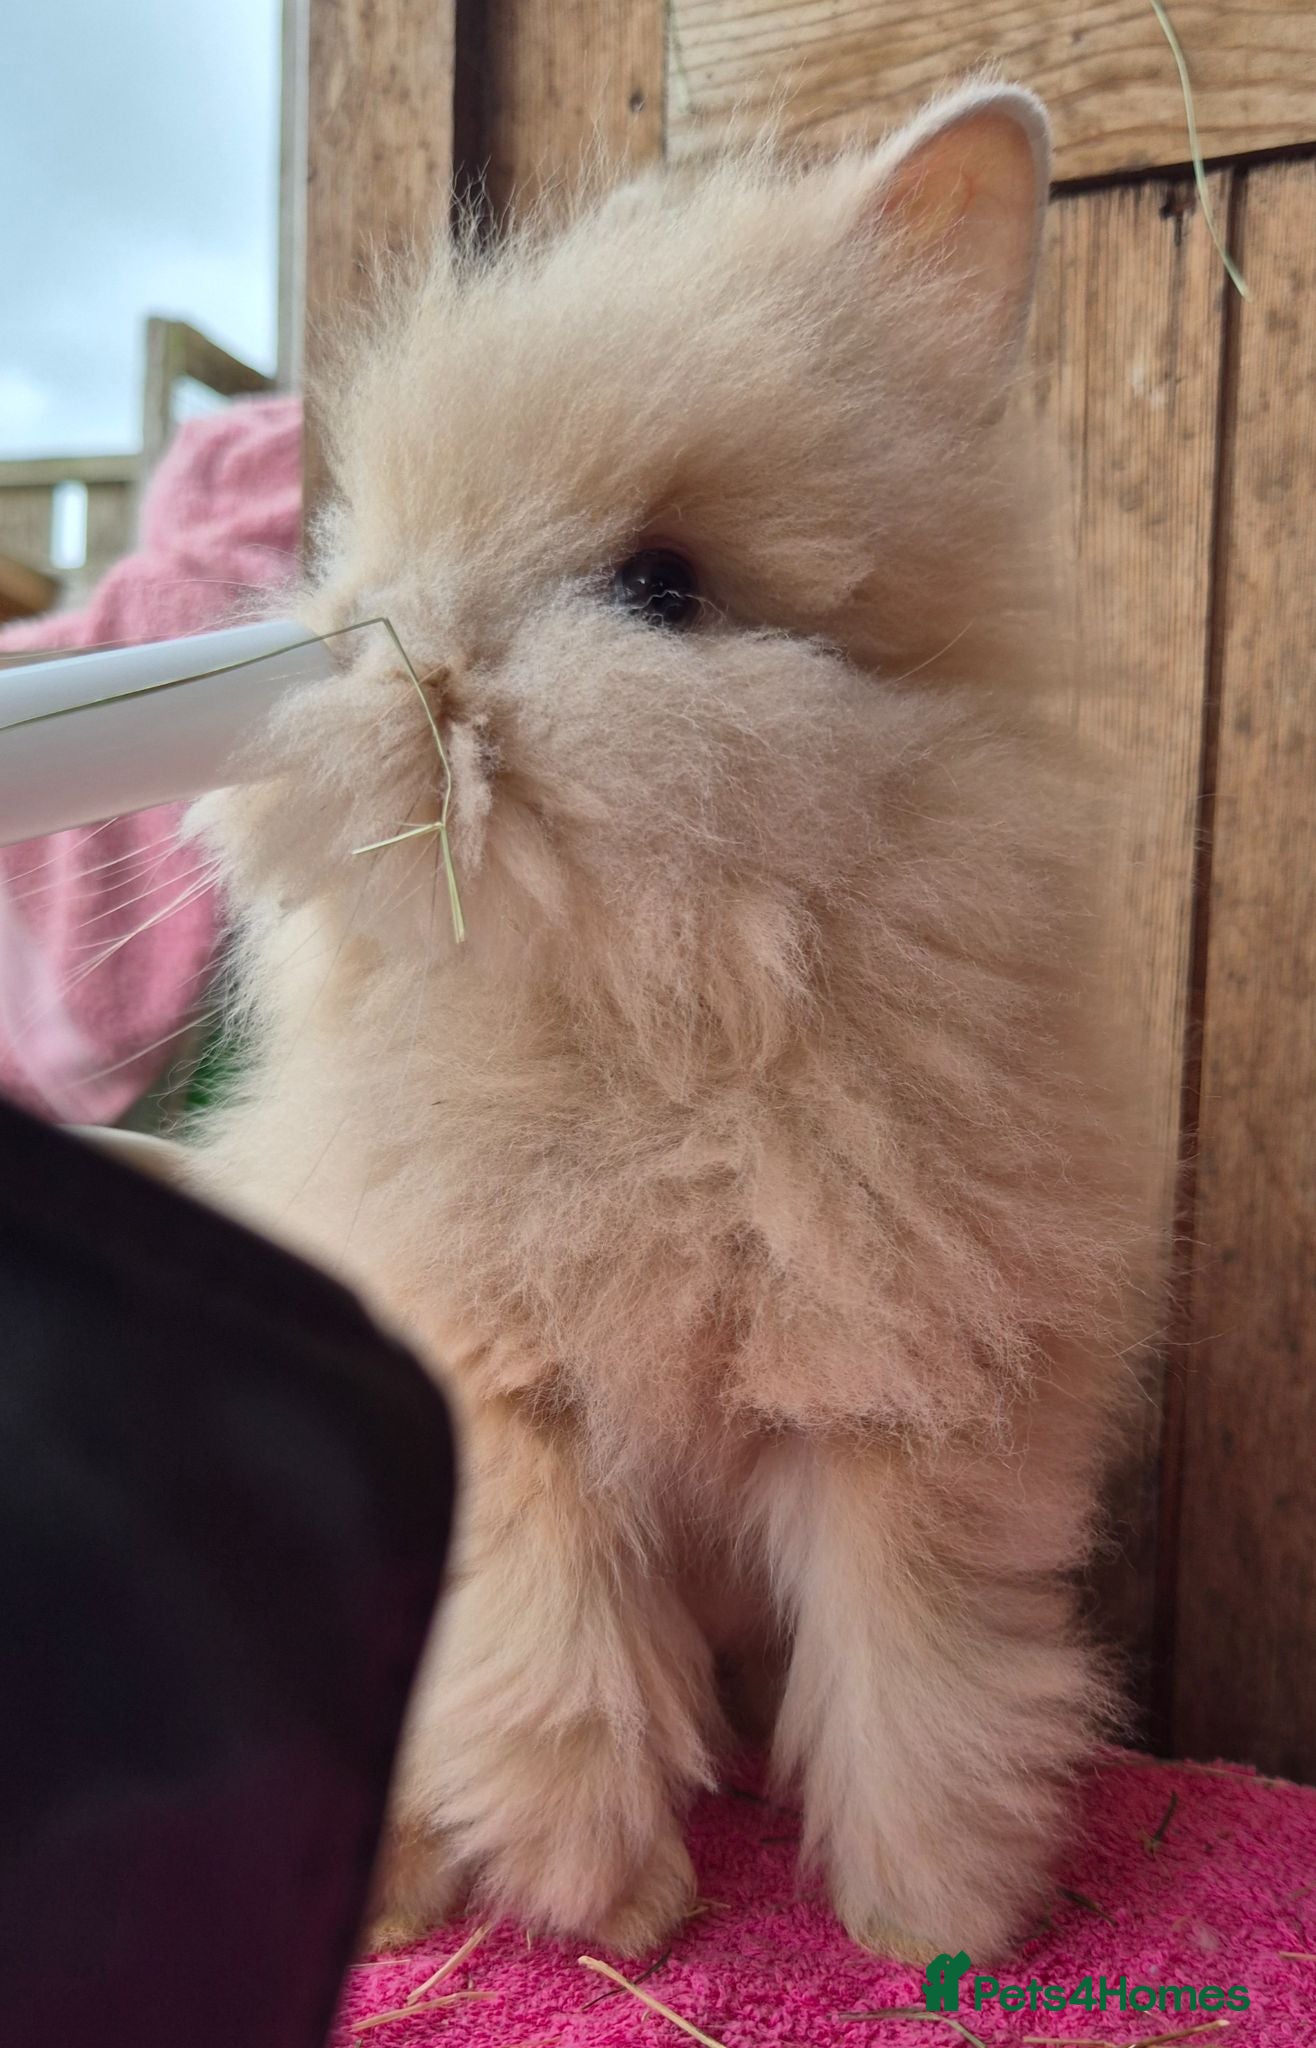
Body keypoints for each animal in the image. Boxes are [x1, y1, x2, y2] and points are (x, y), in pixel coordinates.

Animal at [187, 80, 1151, 1964]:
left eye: (663, 592)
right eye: (364, 539)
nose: (397, 661)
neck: (666, 1035)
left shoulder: (910, 1413)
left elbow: (919, 1670)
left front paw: (933, 1923)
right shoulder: (504, 1405)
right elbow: (552, 1665)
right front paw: (616, 1911)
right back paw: (399, 1909)